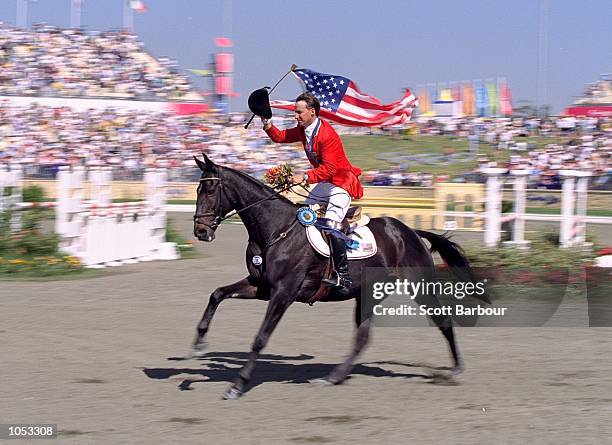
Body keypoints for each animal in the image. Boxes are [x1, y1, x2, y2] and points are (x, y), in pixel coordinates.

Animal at [194, 154, 480, 400]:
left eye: (211, 190)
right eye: (198, 190)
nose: (200, 231)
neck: (276, 229)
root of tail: (409, 231)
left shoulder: (284, 292)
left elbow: (260, 337)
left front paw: (237, 386)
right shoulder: (261, 287)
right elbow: (217, 294)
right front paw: (199, 343)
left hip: (419, 287)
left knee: (442, 321)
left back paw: (456, 369)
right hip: (368, 294)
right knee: (362, 337)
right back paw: (334, 377)